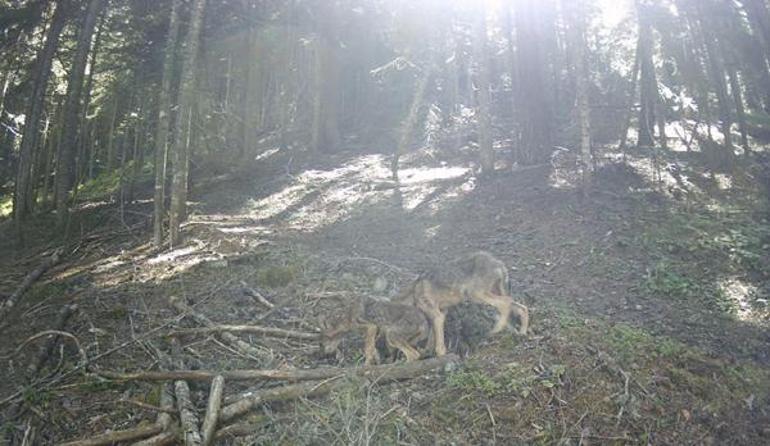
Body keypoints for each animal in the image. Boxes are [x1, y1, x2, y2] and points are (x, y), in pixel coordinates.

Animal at [392, 253, 524, 358]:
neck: (413, 292)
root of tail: (498, 263)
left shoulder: (437, 316)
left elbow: (439, 343)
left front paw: (441, 355)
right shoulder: (441, 313)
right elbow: (432, 339)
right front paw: (428, 352)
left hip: (477, 296)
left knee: (506, 302)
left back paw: (497, 329)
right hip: (494, 293)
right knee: (521, 307)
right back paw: (522, 332)